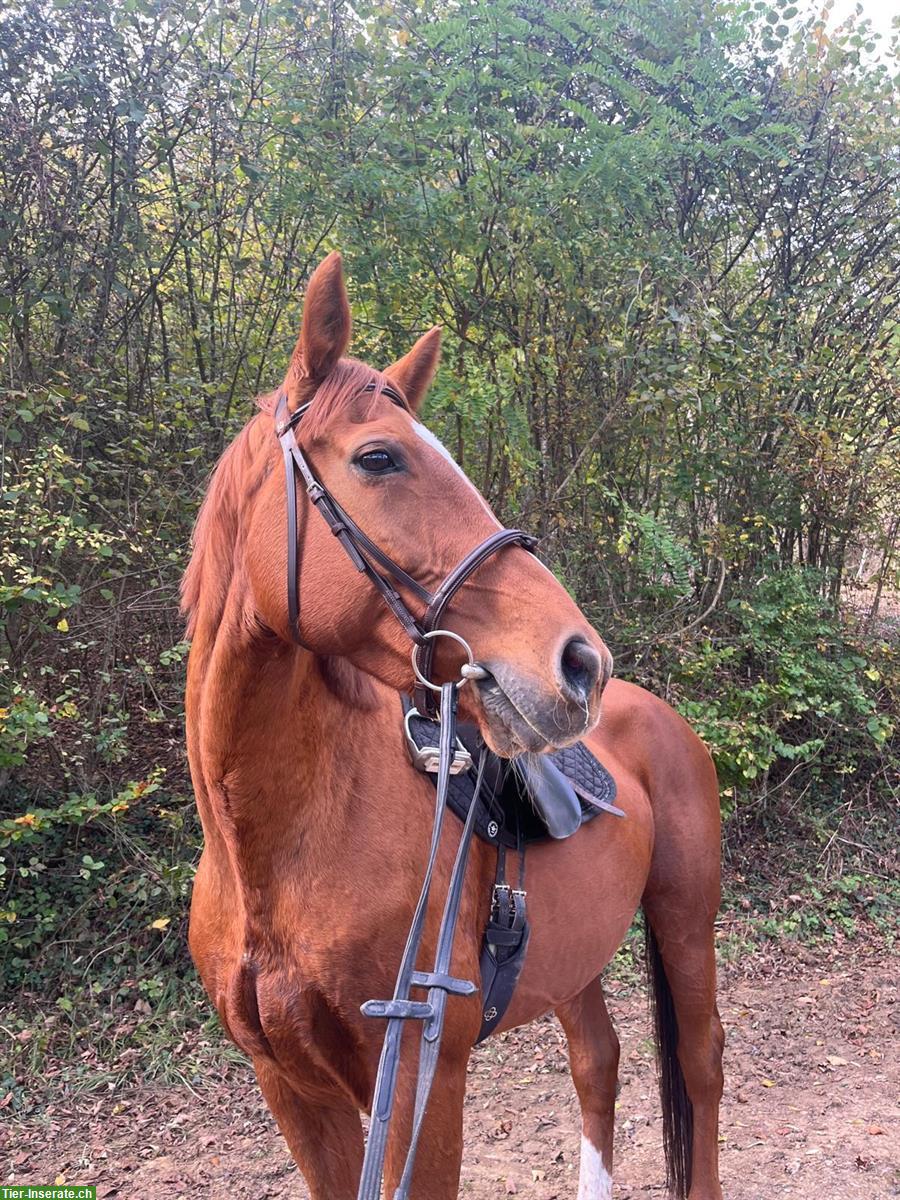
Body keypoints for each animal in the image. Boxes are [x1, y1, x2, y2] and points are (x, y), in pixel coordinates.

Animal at [183, 248, 724, 1195]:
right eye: (378, 457)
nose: (580, 663)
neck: (276, 858)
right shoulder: (293, 1092)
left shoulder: (422, 1088)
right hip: (575, 958)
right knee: (599, 1059)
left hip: (688, 922)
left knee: (700, 1069)